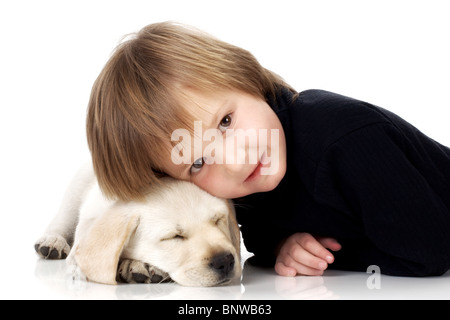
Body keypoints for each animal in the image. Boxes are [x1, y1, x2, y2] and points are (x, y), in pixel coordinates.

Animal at [33, 164, 241, 286]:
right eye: (174, 236)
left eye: (218, 220)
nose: (224, 261)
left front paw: (138, 265)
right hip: (76, 189)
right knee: (61, 220)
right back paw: (53, 242)